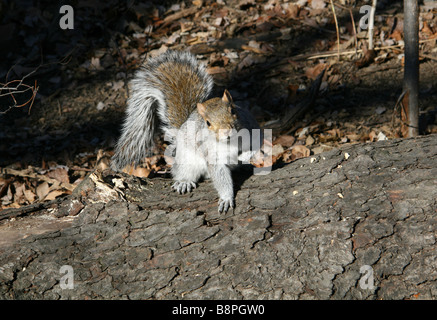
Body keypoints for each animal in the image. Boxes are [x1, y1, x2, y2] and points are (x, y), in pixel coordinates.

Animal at [112, 50, 260, 212]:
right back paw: (185, 182)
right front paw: (226, 197)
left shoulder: (252, 127)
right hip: (186, 160)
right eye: (208, 123)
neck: (231, 142)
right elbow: (220, 175)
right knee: (183, 172)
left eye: (233, 111)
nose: (227, 132)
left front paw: (246, 155)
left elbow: (257, 145)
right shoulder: (212, 154)